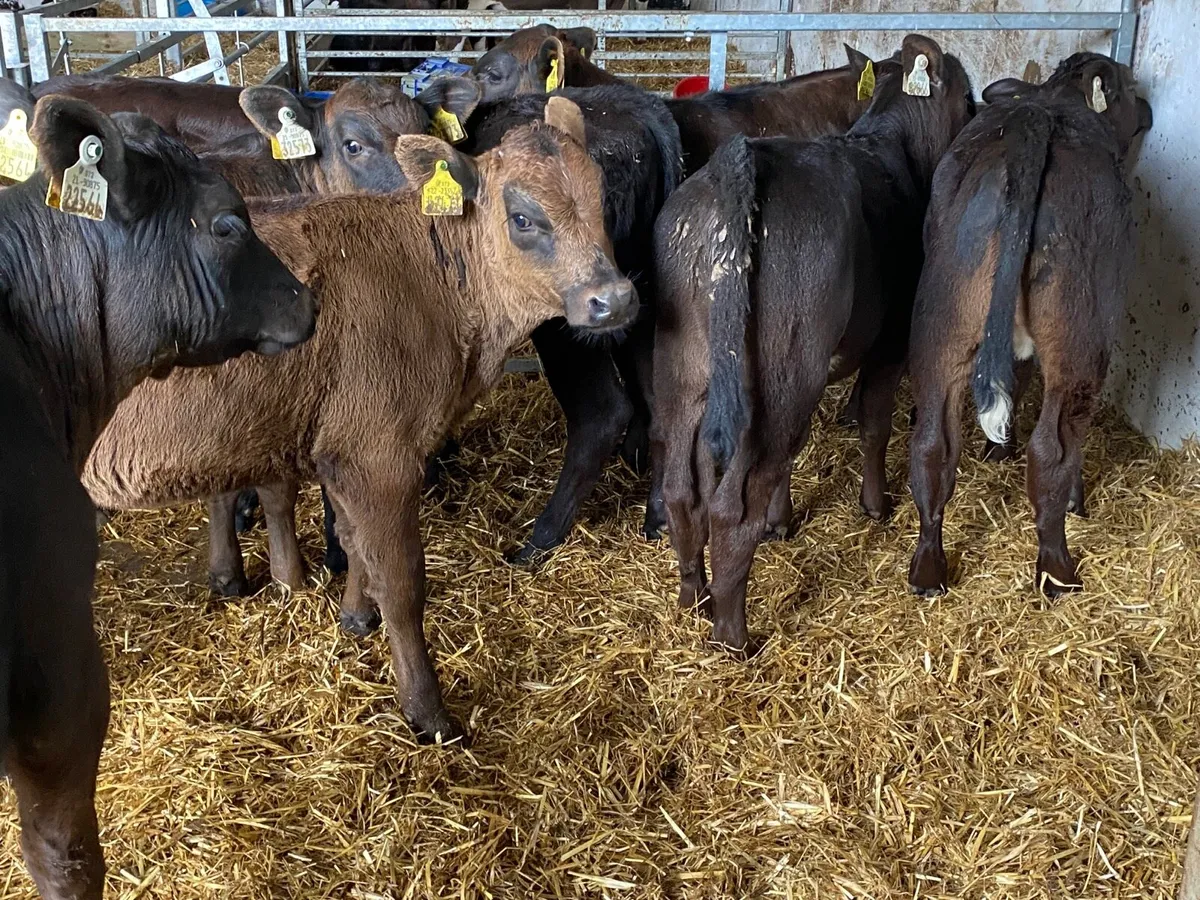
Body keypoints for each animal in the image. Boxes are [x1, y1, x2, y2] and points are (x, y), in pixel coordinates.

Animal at [82, 98, 635, 744]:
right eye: (523, 218)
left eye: (601, 198)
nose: (615, 299)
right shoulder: (379, 455)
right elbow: (399, 580)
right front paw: (427, 711)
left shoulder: (343, 448)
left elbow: (352, 542)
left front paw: (353, 616)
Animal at [652, 35, 974, 652]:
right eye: (968, 95)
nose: (976, 115)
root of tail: (740, 164)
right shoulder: (891, 344)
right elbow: (874, 423)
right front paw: (875, 505)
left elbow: (794, 456)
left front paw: (783, 521)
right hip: (785, 366)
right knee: (733, 507)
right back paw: (733, 635)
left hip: (686, 370)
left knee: (685, 489)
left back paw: (693, 596)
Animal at [906, 53, 1152, 599]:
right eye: (1127, 88)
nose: (1148, 110)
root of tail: (1033, 123)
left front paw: (999, 449)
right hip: (1080, 343)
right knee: (1053, 451)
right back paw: (1057, 570)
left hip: (943, 325)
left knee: (933, 446)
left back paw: (929, 569)